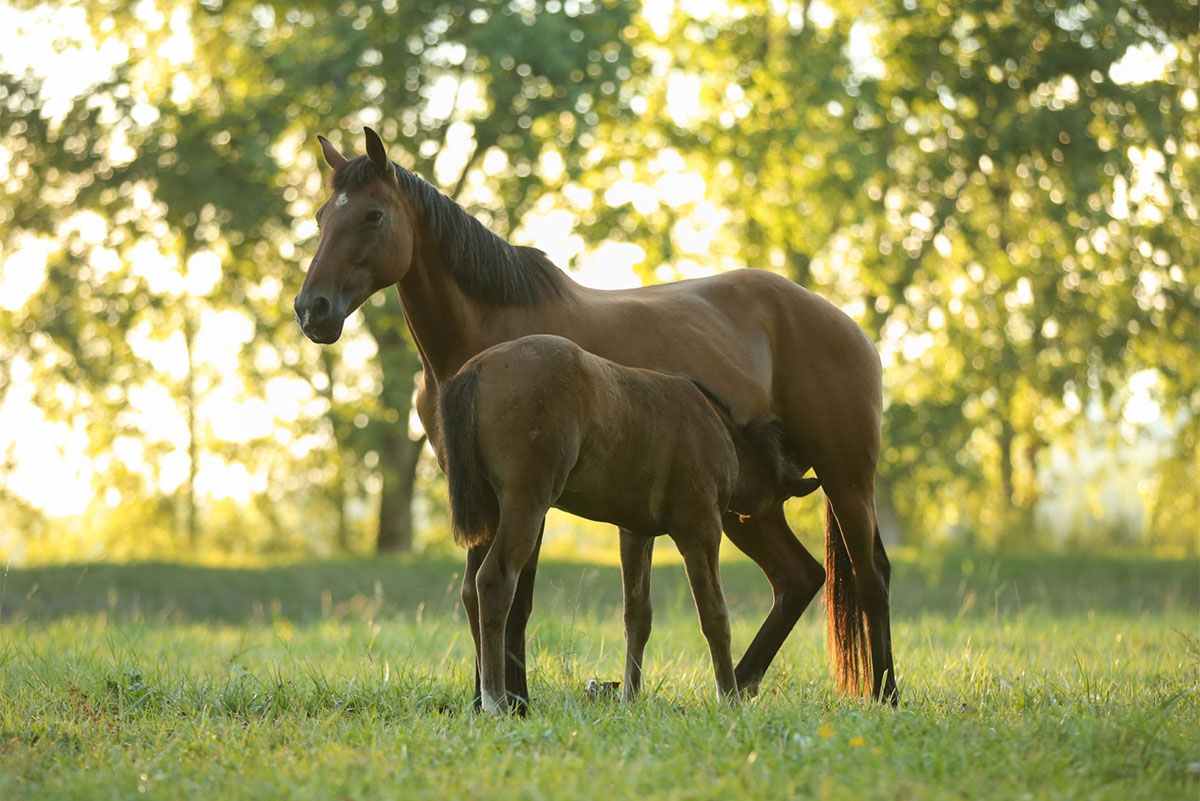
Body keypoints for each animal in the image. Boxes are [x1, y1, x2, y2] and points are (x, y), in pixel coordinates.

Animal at [436, 333, 820, 714]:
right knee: (493, 582)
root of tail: (477, 367)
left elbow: (638, 616)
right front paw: (728, 697)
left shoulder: (635, 531)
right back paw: (496, 701)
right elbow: (715, 616)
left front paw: (630, 697)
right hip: (526, 504)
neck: (713, 424)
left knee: (470, 590)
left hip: (491, 513)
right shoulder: (700, 527)